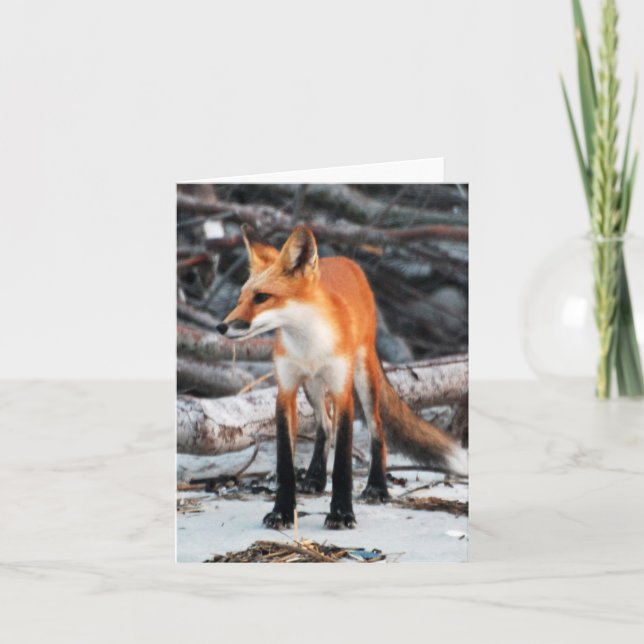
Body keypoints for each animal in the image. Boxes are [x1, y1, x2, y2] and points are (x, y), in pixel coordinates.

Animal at [217, 224, 467, 530]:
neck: (309, 344)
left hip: (363, 376)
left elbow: (343, 464)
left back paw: (377, 487)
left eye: (262, 297)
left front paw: (341, 513)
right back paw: (314, 478)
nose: (221, 327)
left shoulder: (341, 390)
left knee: (377, 430)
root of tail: (343, 260)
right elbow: (285, 464)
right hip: (312, 386)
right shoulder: (286, 389)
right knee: (324, 425)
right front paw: (282, 512)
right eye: (240, 298)